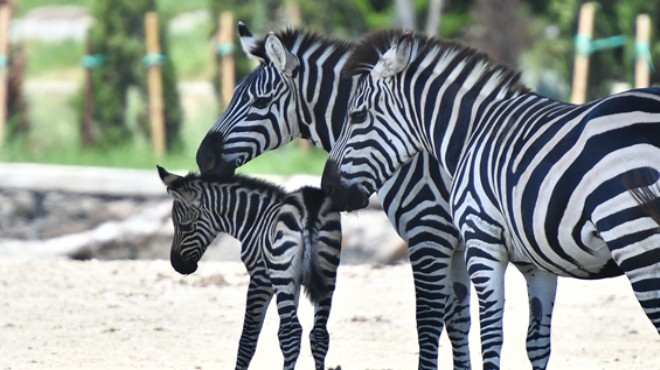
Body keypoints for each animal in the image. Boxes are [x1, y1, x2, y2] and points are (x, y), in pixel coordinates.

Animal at [155, 165, 340, 370]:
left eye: (185, 226)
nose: (177, 265)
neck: (255, 220)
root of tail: (310, 207)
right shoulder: (296, 281)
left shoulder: (261, 279)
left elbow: (248, 339)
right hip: (327, 274)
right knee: (319, 334)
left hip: (282, 275)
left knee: (290, 333)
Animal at [196, 23, 474, 370]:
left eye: (259, 102)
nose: (202, 158)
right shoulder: (455, 244)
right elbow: (459, 321)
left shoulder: (430, 233)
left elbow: (432, 320)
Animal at [324, 29, 660, 370]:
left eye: (357, 115)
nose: (329, 188)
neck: (471, 132)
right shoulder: (537, 261)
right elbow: (537, 341)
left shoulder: (480, 241)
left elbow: (491, 335)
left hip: (636, 239)